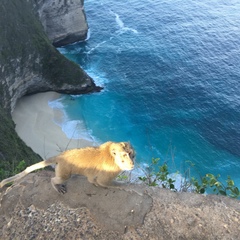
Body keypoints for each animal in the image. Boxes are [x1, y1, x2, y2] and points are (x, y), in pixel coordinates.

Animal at [0, 142, 135, 194]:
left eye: (131, 154)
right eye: (124, 155)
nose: (132, 163)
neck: (112, 155)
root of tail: (61, 156)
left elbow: (94, 179)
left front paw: (94, 183)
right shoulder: (111, 170)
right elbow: (104, 181)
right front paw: (125, 186)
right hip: (64, 168)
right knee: (62, 178)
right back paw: (55, 184)